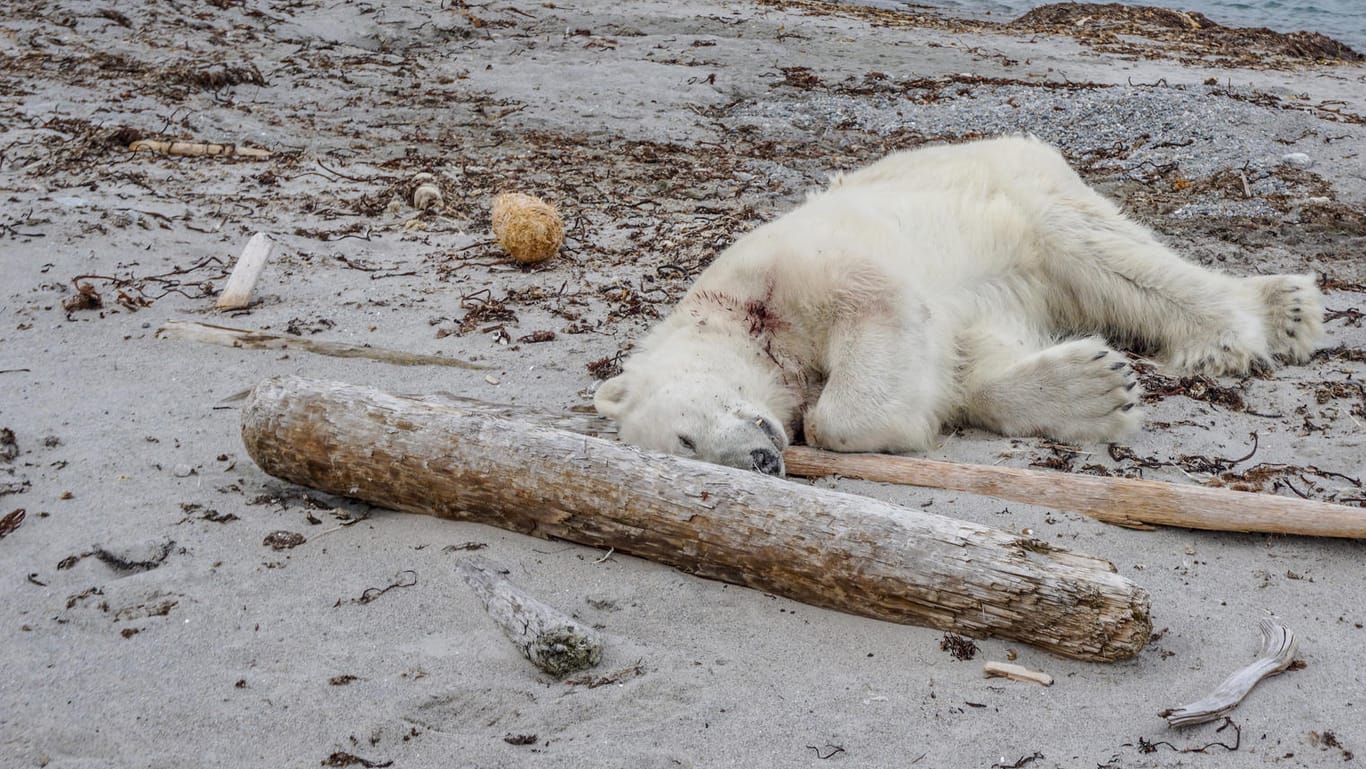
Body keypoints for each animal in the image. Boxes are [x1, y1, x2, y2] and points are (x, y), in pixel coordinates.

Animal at [595, 137, 1322, 475]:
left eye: (684, 438)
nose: (761, 460)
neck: (738, 317)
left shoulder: (791, 270)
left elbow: (876, 318)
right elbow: (969, 361)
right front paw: (1091, 389)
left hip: (1019, 191)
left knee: (1103, 254)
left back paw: (1261, 320)